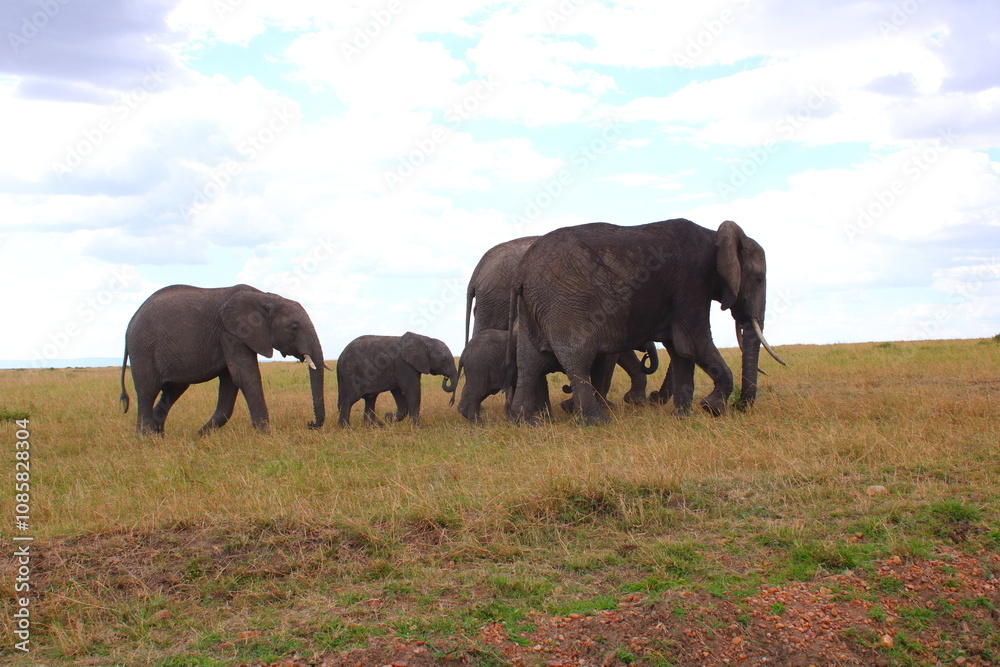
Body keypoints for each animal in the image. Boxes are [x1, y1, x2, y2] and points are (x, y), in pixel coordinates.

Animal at [119, 284, 327, 434]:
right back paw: (146, 438)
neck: (264, 297)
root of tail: (130, 324)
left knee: (172, 391)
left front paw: (201, 435)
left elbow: (231, 382)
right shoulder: (232, 334)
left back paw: (158, 436)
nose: (310, 424)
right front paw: (266, 435)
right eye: (294, 327)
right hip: (143, 349)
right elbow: (246, 377)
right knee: (147, 392)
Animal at [509, 218, 785, 425]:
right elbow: (692, 343)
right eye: (759, 278)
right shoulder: (691, 282)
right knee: (577, 358)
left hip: (533, 308)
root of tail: (522, 273)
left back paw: (526, 422)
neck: (714, 236)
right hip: (566, 304)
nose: (741, 407)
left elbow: (680, 350)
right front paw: (712, 408)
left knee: (530, 361)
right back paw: (597, 422)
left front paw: (681, 417)